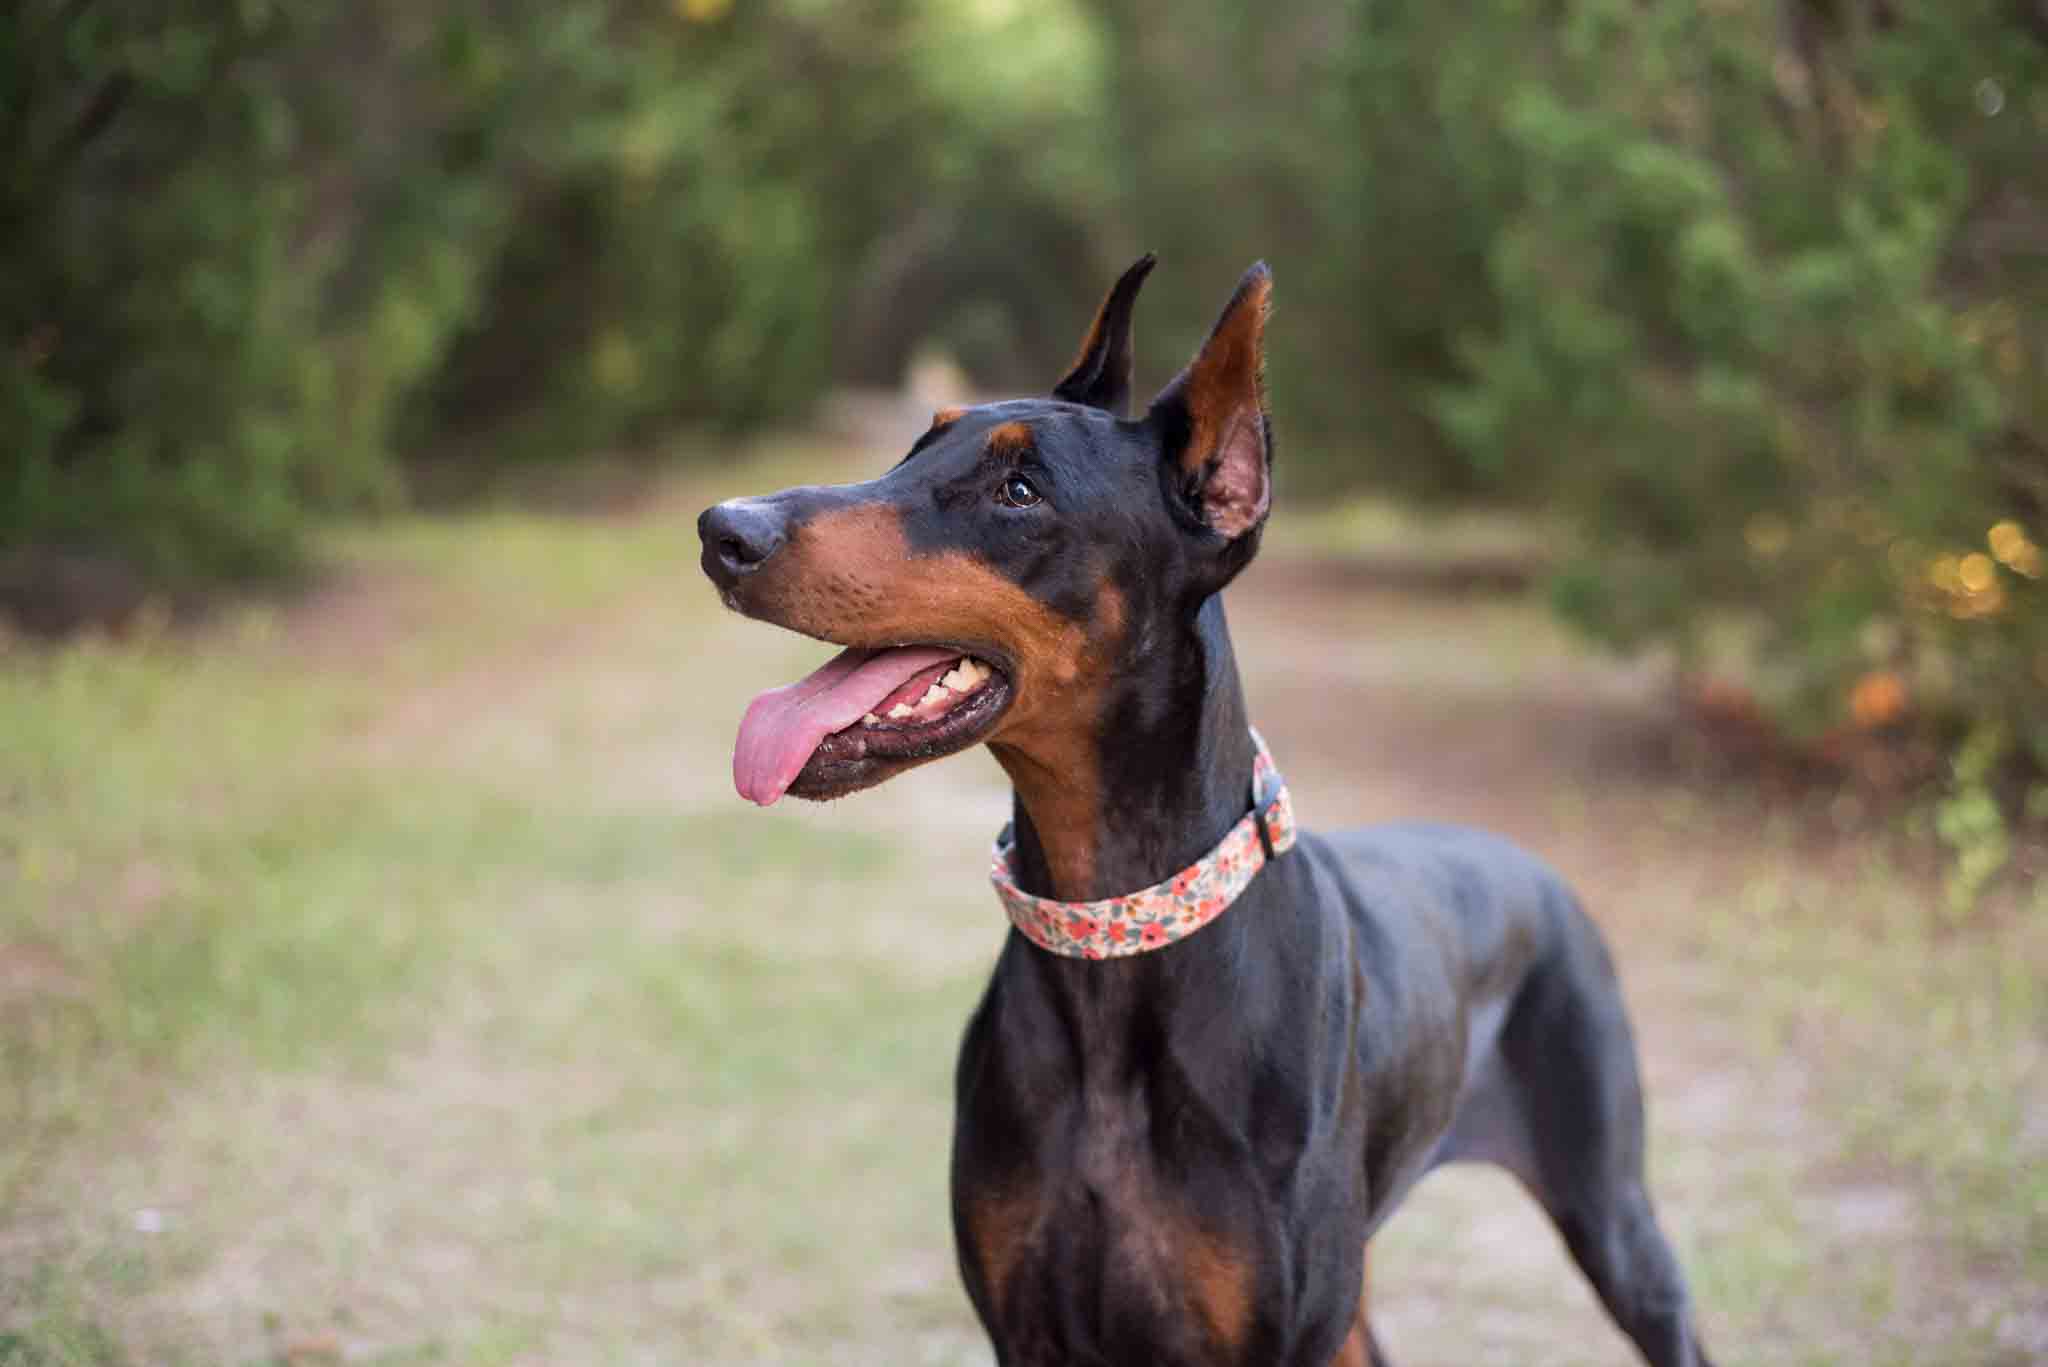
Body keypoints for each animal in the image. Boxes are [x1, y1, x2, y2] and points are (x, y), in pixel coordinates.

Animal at [700, 259, 1712, 1367]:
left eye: (1019, 490)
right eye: (917, 445)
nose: (724, 529)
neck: (1114, 937)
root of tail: (1528, 865)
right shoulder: (1025, 1329)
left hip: (1612, 1215)